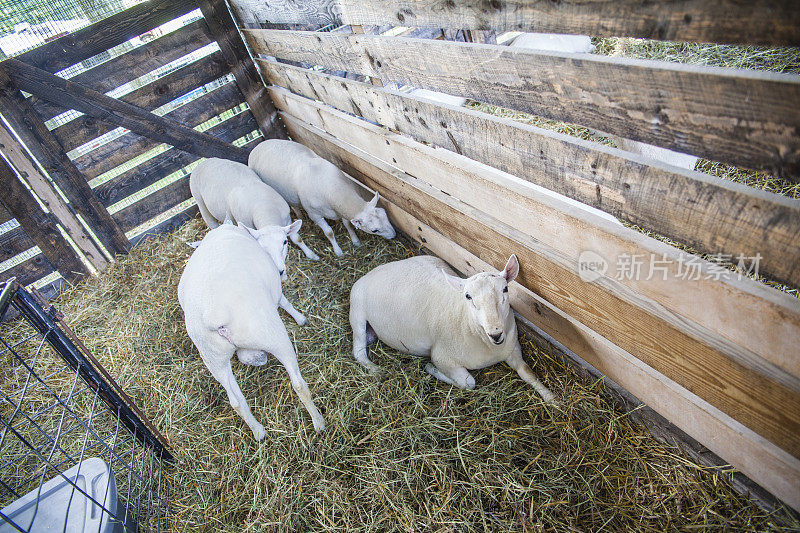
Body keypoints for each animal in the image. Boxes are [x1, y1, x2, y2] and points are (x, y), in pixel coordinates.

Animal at [178, 219, 324, 436]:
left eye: (284, 242)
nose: (281, 271)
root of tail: (214, 315)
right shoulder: (275, 289)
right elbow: (283, 301)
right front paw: (300, 318)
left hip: (213, 357)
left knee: (236, 401)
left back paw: (258, 432)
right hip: (271, 334)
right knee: (298, 384)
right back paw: (318, 422)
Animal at [248, 139, 396, 256]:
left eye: (385, 214)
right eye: (374, 230)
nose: (394, 235)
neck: (330, 186)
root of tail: (257, 146)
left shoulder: (340, 209)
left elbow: (348, 224)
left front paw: (355, 241)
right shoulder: (315, 215)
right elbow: (329, 232)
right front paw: (338, 252)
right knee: (294, 205)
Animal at [350, 254, 556, 400]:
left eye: (505, 289)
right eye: (468, 296)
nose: (496, 333)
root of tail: (374, 270)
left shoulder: (513, 348)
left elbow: (528, 372)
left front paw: (552, 398)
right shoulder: (442, 357)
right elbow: (468, 382)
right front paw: (431, 370)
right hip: (357, 311)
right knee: (358, 351)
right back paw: (376, 370)